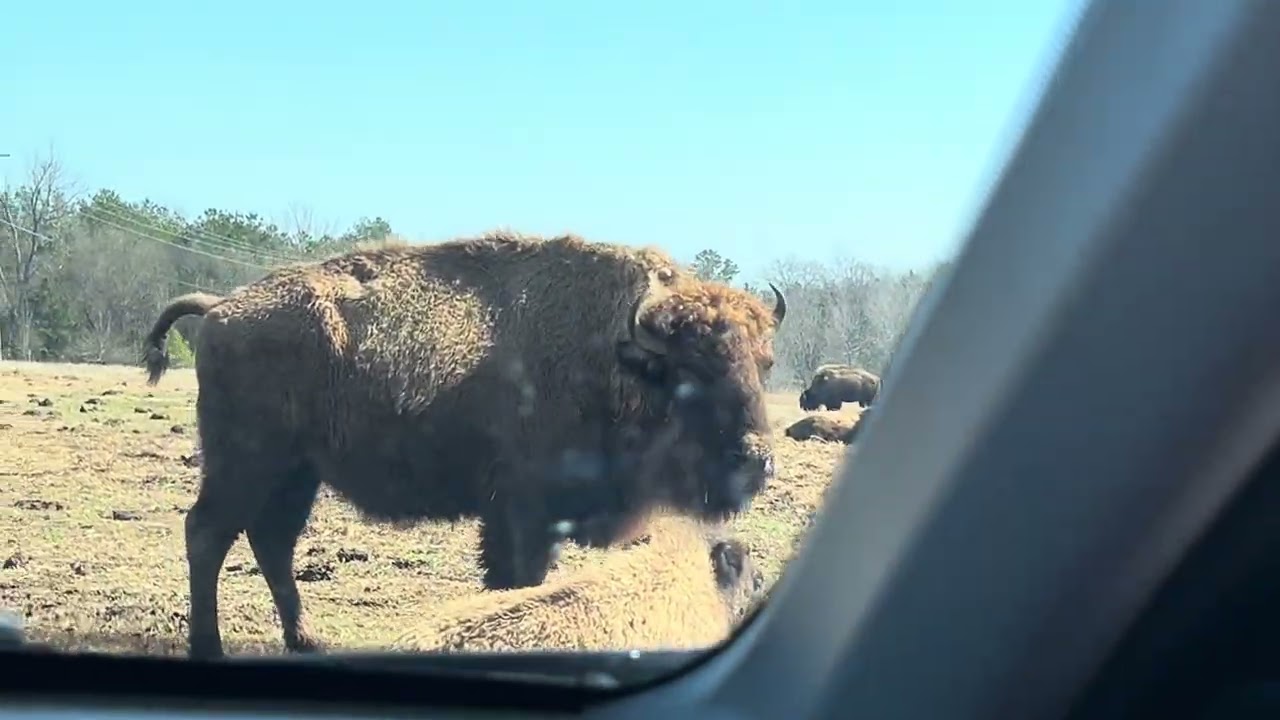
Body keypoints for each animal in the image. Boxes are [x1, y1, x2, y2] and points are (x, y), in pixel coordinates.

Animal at [141, 231, 786, 659]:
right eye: (690, 370)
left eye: (765, 364)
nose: (755, 460)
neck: (619, 358)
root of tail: (222, 307)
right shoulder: (525, 513)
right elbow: (520, 579)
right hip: (245, 463)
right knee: (208, 533)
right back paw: (209, 647)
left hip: (297, 473)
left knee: (271, 541)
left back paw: (308, 640)